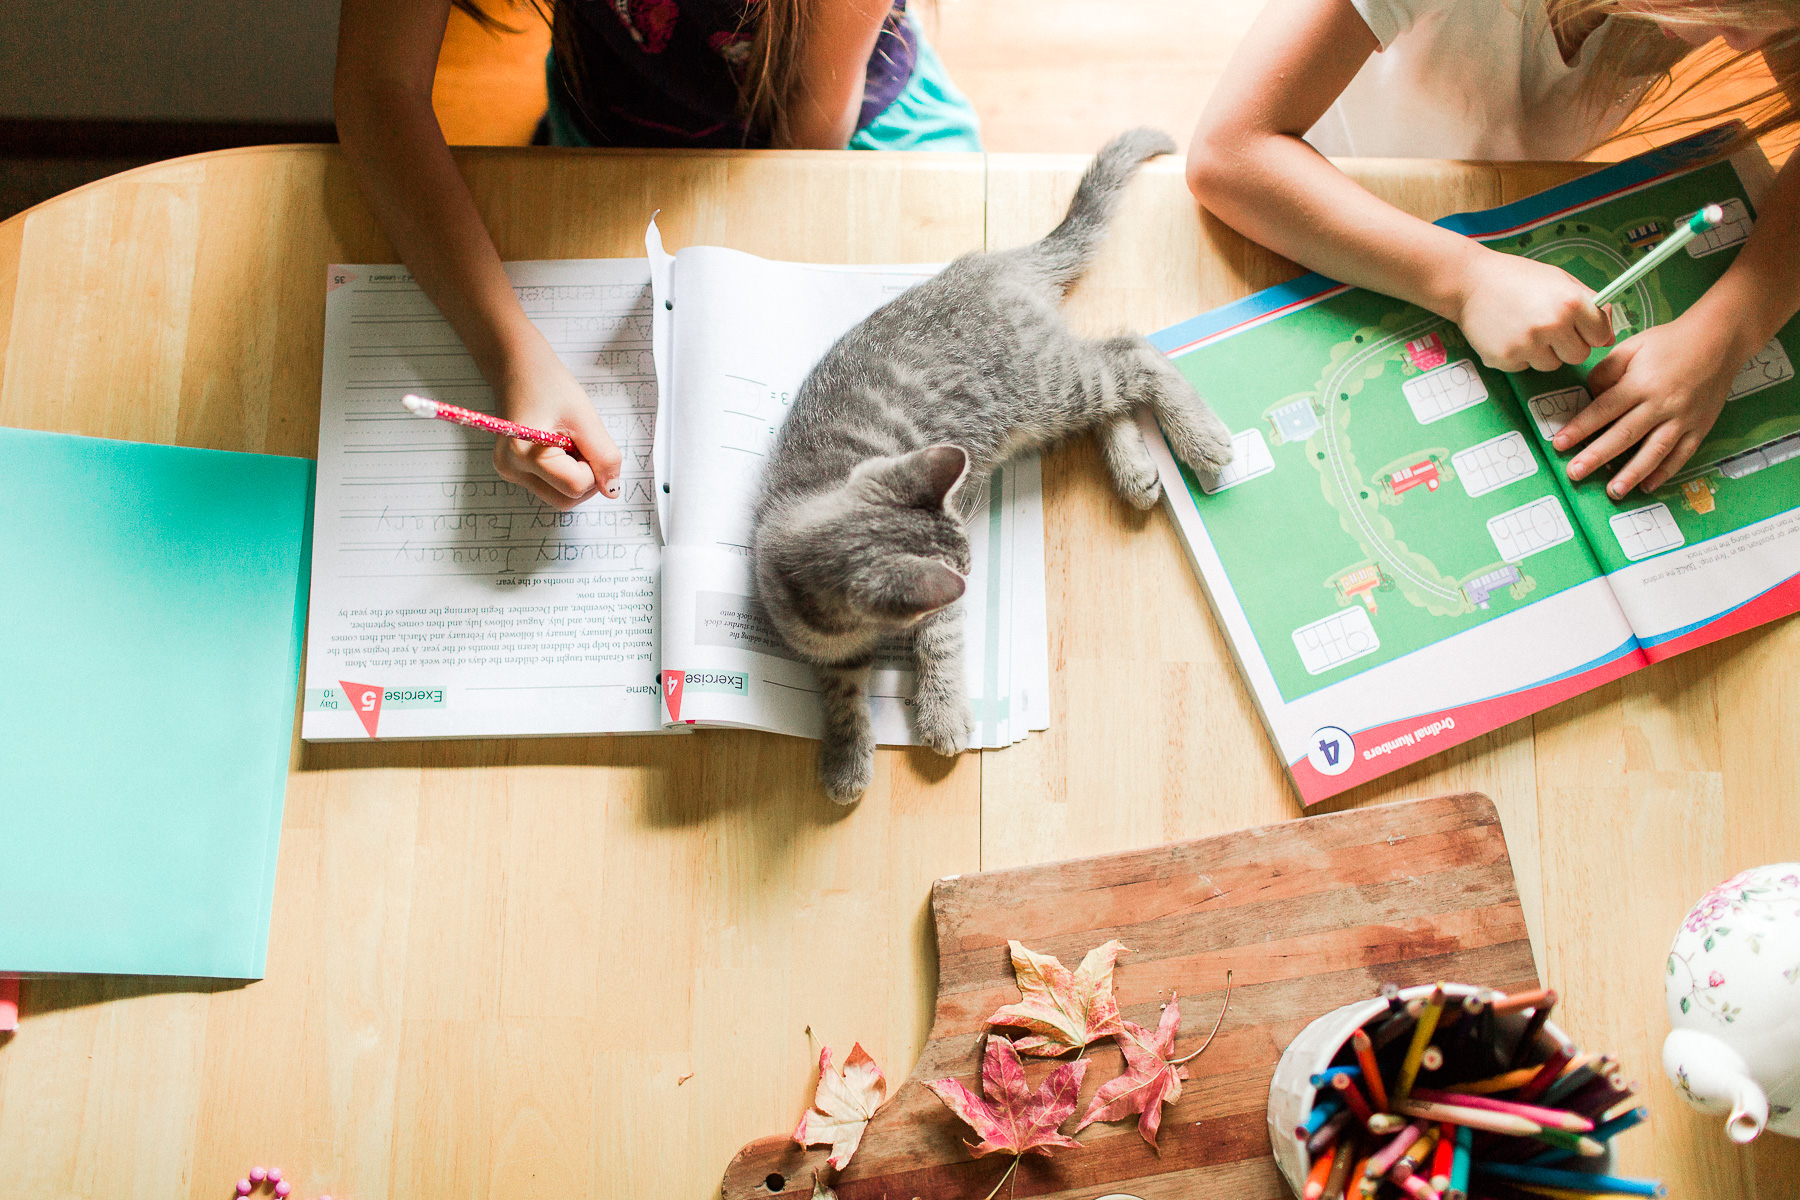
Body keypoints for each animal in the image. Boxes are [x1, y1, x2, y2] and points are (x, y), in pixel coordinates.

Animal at [752, 129, 1231, 805]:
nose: (973, 575)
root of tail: (991, 262)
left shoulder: (937, 610)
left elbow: (941, 640)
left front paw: (942, 710)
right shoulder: (823, 649)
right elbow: (841, 693)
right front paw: (846, 753)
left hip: (1047, 388)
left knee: (1133, 352)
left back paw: (1200, 437)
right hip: (1044, 403)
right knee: (1112, 387)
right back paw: (1135, 468)